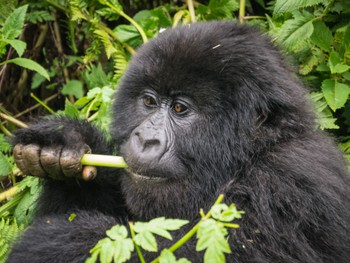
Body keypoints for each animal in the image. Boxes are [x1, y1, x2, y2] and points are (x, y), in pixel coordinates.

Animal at [7, 21, 350, 262]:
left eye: (180, 109)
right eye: (148, 101)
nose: (146, 139)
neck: (251, 155)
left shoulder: (285, 184)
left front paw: (51, 245)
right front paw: (65, 144)